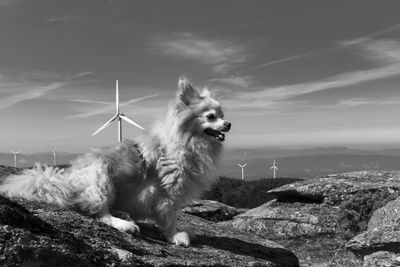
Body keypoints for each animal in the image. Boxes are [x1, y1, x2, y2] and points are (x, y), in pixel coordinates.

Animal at [0, 77, 231, 247]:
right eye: (211, 117)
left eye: (222, 115)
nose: (228, 124)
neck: (188, 142)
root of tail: (67, 181)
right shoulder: (168, 194)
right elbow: (169, 218)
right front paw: (175, 236)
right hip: (101, 176)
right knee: (99, 213)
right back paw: (123, 224)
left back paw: (123, 214)